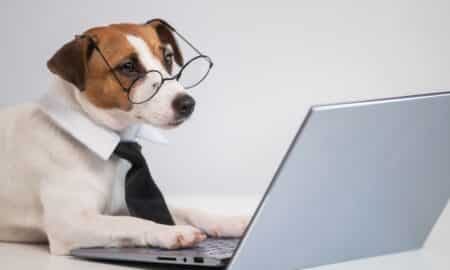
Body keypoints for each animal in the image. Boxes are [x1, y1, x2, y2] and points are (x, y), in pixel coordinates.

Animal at [0, 20, 250, 254]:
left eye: (168, 57)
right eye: (128, 66)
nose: (187, 104)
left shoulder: (123, 203)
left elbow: (186, 210)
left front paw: (228, 221)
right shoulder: (70, 222)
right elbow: (130, 222)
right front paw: (170, 232)